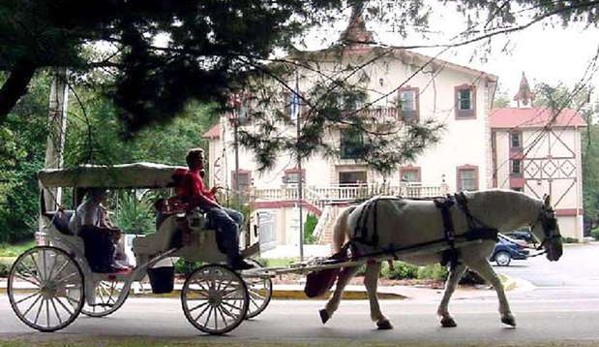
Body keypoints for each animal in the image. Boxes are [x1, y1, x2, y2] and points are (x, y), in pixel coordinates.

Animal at [322, 190, 564, 332]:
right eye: (552, 221)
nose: (558, 251)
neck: (478, 214)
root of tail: (357, 207)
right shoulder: (476, 258)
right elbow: (496, 282)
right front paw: (507, 315)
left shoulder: (462, 260)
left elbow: (450, 286)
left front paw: (445, 315)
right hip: (368, 255)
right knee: (351, 280)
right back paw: (342, 312)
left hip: (372, 258)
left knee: (363, 283)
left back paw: (370, 317)